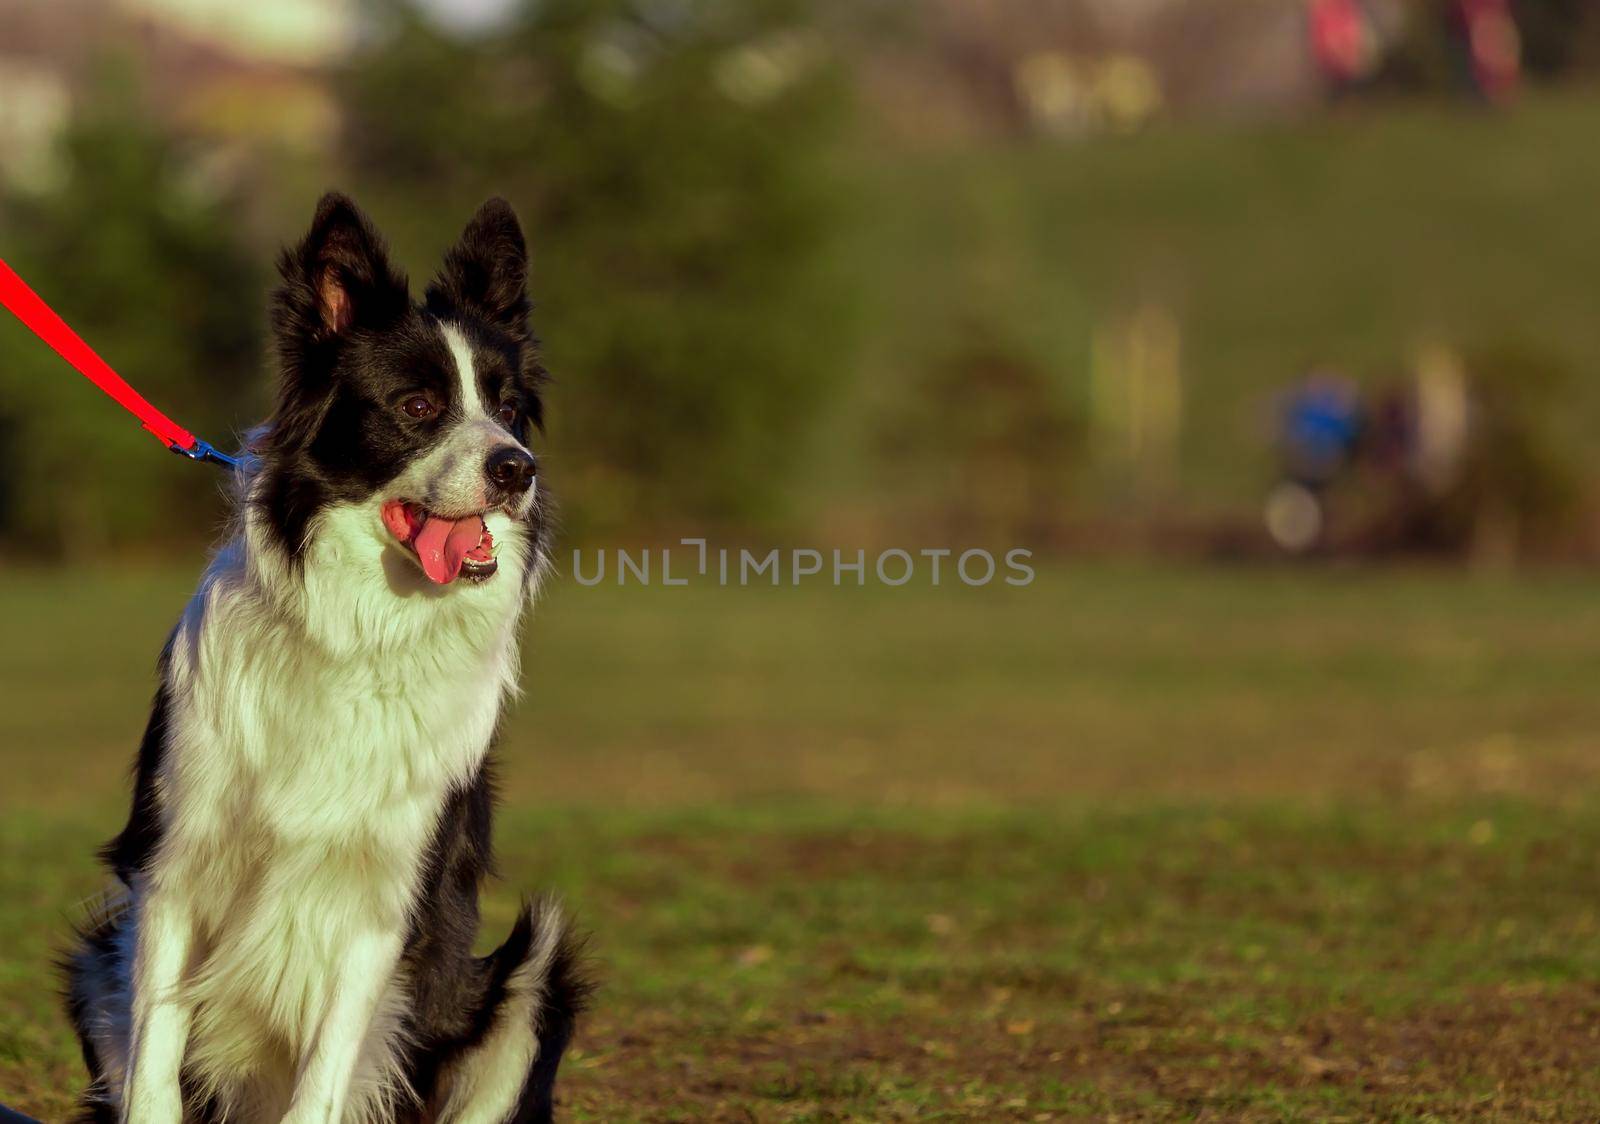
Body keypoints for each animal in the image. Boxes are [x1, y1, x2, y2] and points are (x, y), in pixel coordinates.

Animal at [64, 198, 588, 1120]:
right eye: (417, 405)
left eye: (508, 406)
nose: (517, 470)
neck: (361, 633)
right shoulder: (173, 868)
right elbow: (156, 1064)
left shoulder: (383, 904)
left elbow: (323, 1077)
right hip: (97, 953)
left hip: (532, 975)